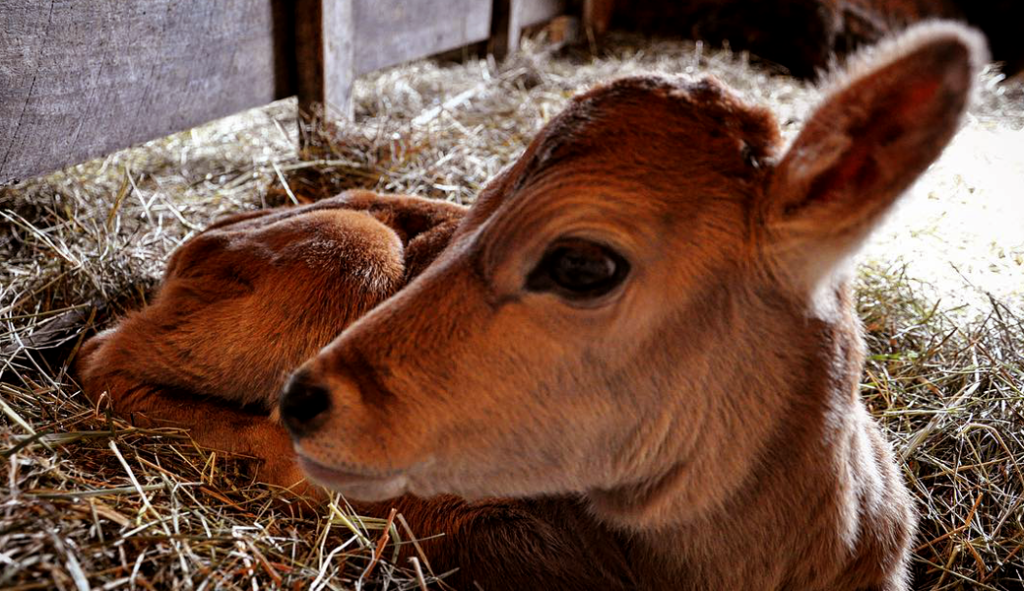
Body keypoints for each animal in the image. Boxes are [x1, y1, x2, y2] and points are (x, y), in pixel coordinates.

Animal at [77, 23, 983, 589]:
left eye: (582, 263)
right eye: (480, 205)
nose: (305, 397)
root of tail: (206, 236)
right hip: (347, 251)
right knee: (103, 355)